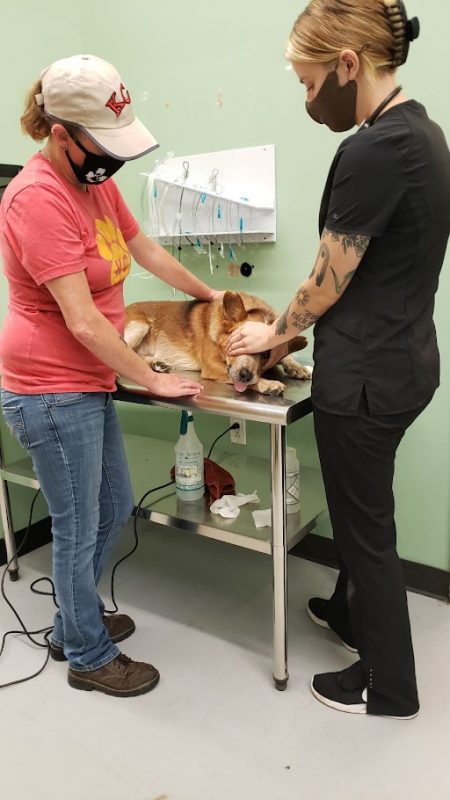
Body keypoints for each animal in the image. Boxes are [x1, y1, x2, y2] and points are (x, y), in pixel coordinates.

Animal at [125, 290, 312, 396]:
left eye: (266, 354)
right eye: (237, 344)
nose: (245, 375)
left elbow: (286, 354)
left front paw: (296, 366)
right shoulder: (212, 364)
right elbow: (249, 381)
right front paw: (267, 383)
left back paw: (157, 363)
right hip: (139, 326)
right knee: (127, 356)